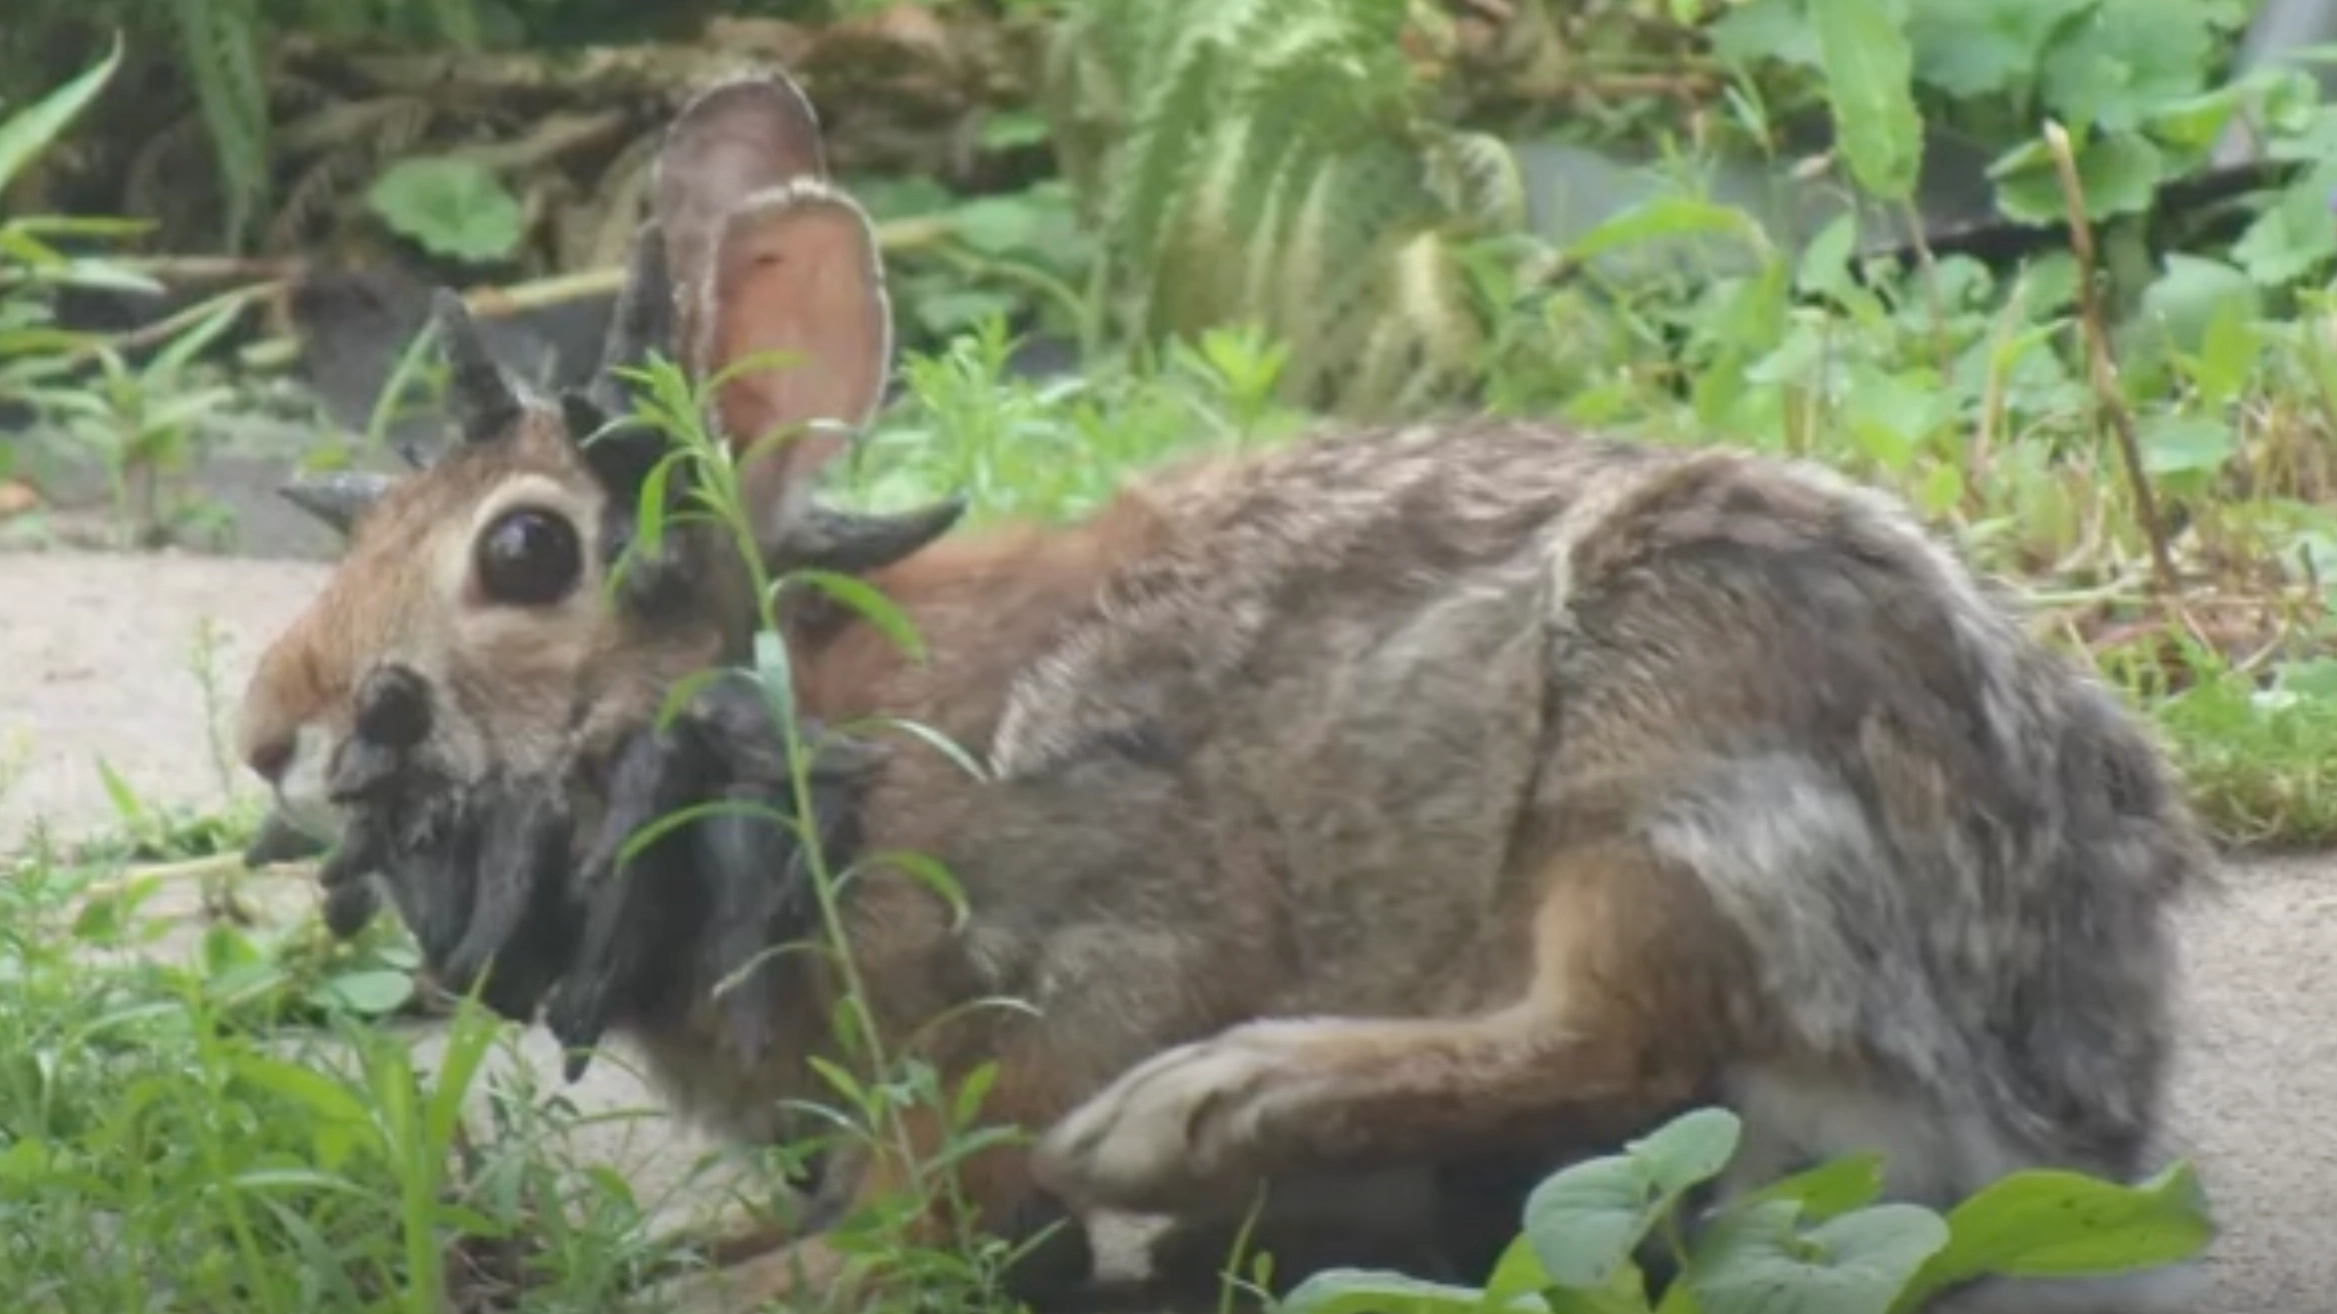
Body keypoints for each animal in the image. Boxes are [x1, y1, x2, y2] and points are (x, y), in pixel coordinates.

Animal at [232, 67, 2221, 1314]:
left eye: (522, 557)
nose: (270, 732)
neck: (783, 715)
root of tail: (2076, 1071)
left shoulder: (1059, 960)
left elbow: (951, 1183)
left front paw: (784, 1275)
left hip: (1668, 746)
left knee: (1617, 1034)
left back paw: (1205, 1118)